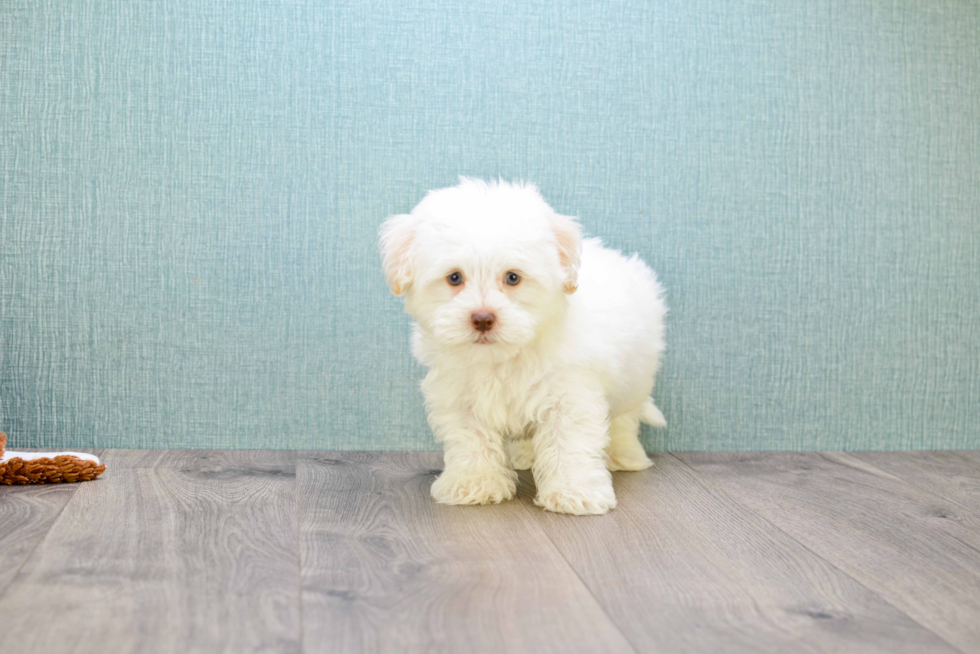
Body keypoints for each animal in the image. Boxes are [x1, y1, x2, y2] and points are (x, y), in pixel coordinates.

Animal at [380, 179, 668, 516]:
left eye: (513, 277)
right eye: (454, 277)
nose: (482, 318)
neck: (504, 357)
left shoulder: (569, 394)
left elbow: (568, 443)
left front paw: (574, 492)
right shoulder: (460, 396)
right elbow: (471, 440)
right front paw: (474, 484)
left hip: (635, 376)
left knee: (625, 419)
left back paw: (625, 456)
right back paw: (526, 455)